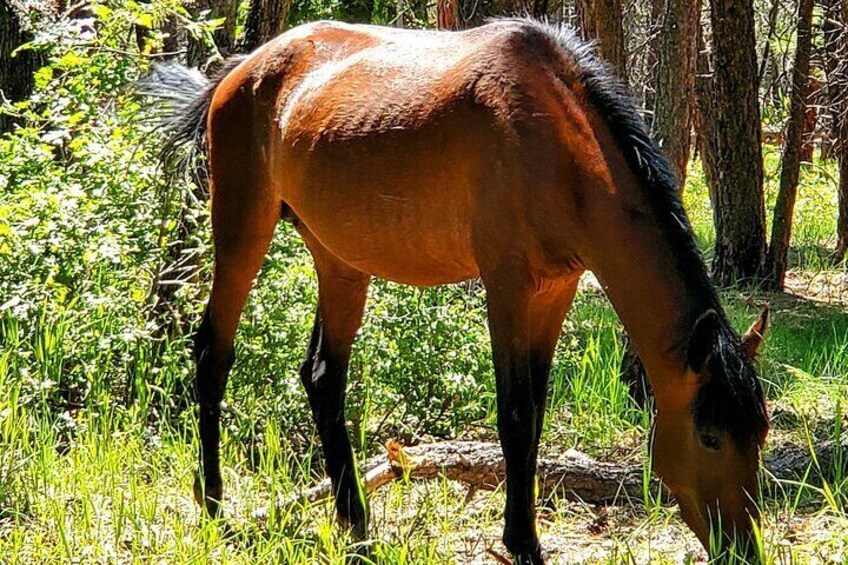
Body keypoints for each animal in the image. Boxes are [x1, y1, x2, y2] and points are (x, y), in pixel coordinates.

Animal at [144, 19, 768, 560]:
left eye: (759, 433)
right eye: (710, 436)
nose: (743, 547)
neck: (556, 143)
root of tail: (239, 70)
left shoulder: (555, 290)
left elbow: (536, 412)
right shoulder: (507, 285)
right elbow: (515, 415)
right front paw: (523, 544)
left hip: (340, 260)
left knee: (322, 377)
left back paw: (357, 523)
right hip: (241, 229)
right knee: (213, 354)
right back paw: (215, 505)